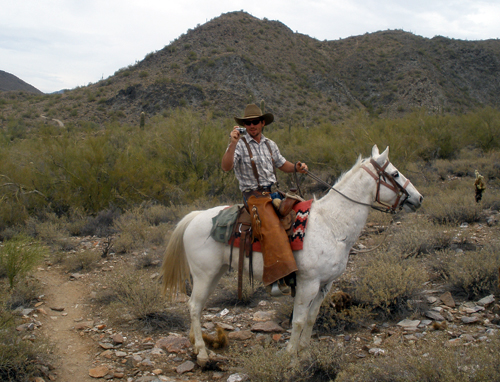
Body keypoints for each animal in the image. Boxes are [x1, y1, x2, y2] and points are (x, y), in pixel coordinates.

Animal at [160, 145, 422, 366]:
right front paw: (290, 356)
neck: (332, 225)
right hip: (204, 274)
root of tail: (195, 216)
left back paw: (196, 346)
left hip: (214, 273)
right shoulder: (308, 283)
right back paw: (203, 354)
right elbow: (297, 320)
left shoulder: (325, 284)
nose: (419, 198)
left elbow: (311, 318)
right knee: (194, 307)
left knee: (198, 306)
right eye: (395, 174)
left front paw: (304, 352)